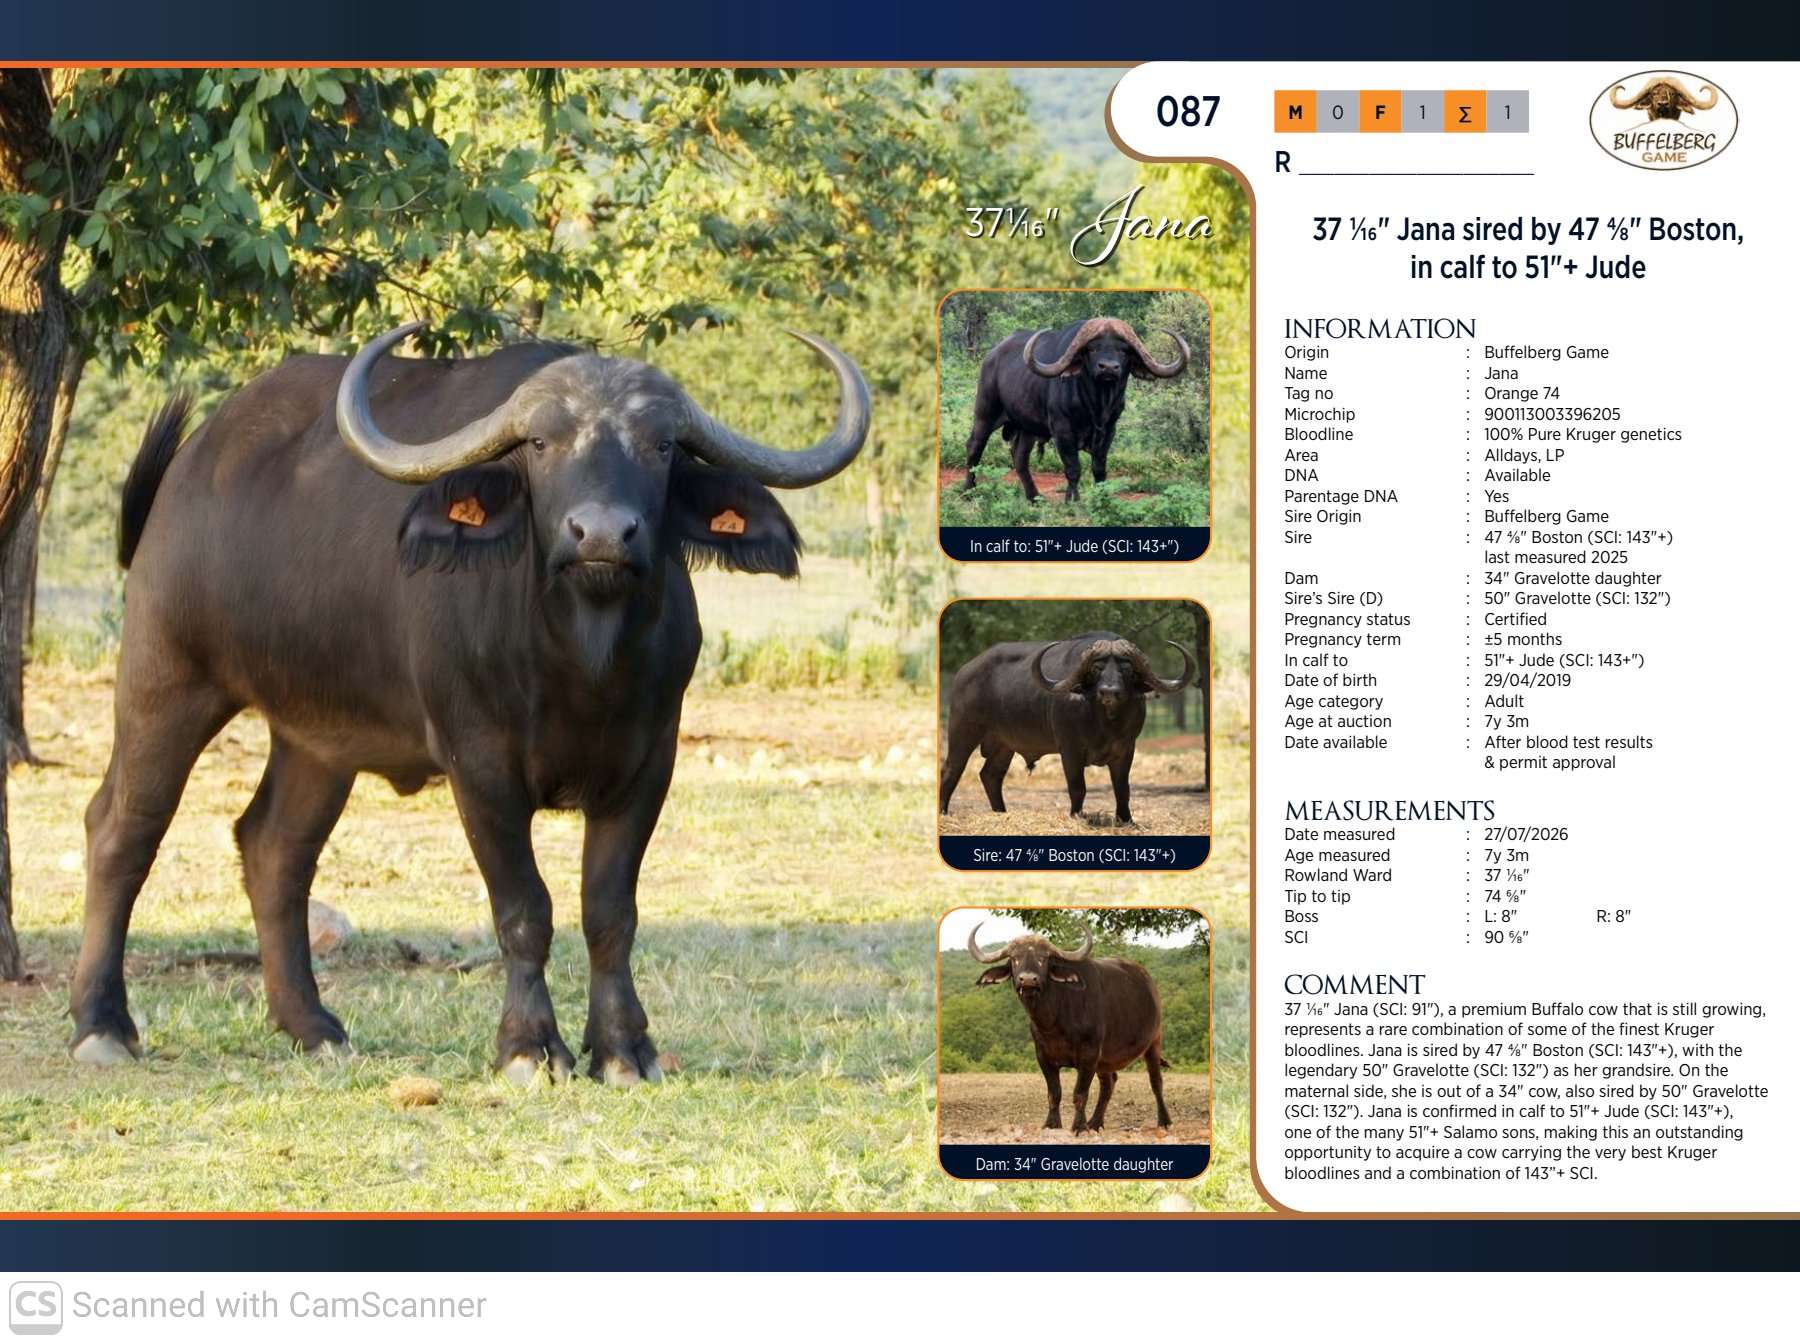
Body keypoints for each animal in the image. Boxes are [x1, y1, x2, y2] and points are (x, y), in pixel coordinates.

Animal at [69, 321, 869, 1086]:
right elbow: (524, 908)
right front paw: (528, 1048)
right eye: (542, 442)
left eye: (663, 444)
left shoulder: (650, 763)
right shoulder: (478, 764)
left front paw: (623, 1050)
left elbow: (611, 912)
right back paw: (101, 1025)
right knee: (122, 828)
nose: (601, 534)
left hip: (318, 738)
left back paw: (314, 1028)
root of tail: (192, 465)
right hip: (167, 674)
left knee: (275, 848)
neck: (581, 659)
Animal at [938, 633, 1196, 825]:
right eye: (1097, 669)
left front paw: (1126, 819)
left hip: (1004, 745)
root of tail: (964, 671)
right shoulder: (1070, 749)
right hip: (962, 731)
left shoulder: (1126, 749)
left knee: (991, 775)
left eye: (1127, 670)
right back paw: (943, 812)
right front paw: (1076, 815)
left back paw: (1001, 812)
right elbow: (1077, 786)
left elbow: (1123, 788)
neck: (1105, 723)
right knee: (951, 770)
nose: (1109, 692)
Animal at [960, 317, 1188, 504]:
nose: (1108, 368)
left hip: (1027, 428)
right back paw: (968, 491)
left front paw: (1102, 498)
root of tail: (991, 356)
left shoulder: (1110, 430)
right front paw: (1073, 500)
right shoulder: (1063, 430)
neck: (1096, 405)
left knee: (1019, 457)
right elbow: (1073, 468)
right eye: (1093, 349)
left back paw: (1034, 497)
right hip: (985, 413)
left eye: (1123, 350)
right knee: (974, 447)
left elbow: (1099, 468)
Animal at [966, 923, 1172, 1132]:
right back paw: (1095, 1123)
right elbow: (1054, 1093)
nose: (1028, 980)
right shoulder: (1044, 1057)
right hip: (1105, 1060)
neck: (1054, 1022)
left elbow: (1080, 1093)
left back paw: (1164, 1121)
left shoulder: (1089, 1054)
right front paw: (1052, 1124)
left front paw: (1079, 1126)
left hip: (1154, 1041)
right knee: (1108, 1083)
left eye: (1043, 958)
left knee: (1156, 1082)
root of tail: (1149, 983)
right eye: (1014, 959)